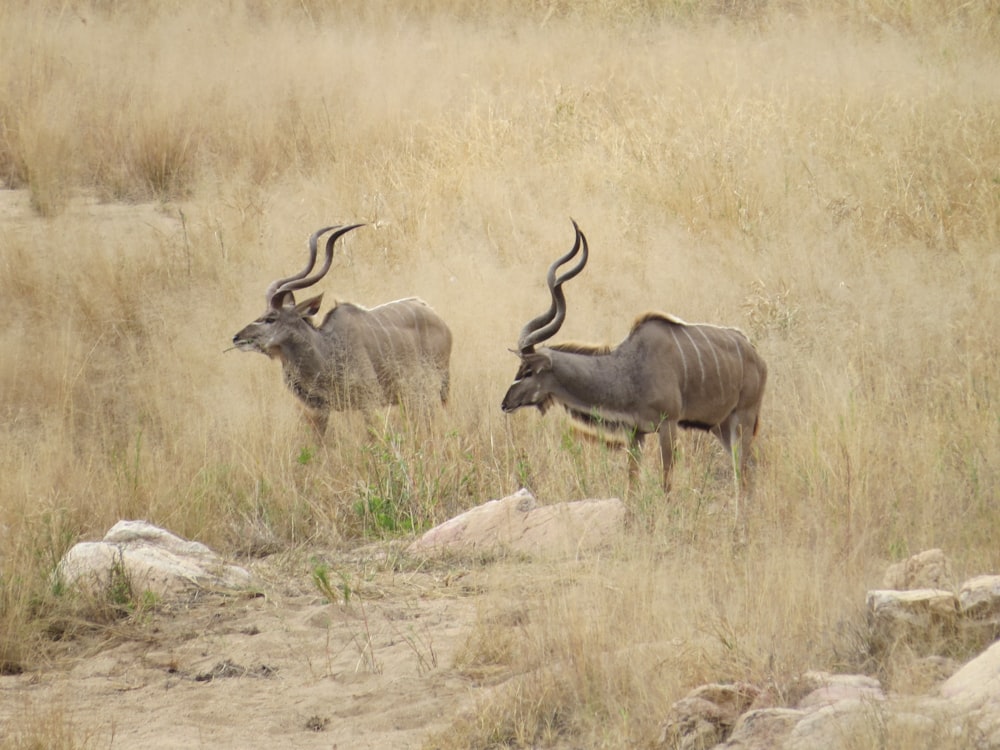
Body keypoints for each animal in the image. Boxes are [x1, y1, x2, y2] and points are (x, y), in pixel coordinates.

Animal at [232, 223, 452, 434]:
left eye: (271, 318)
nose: (237, 338)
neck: (326, 350)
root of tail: (439, 319)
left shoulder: (369, 400)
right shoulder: (319, 411)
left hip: (433, 387)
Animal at [500, 222, 764, 500]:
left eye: (528, 371)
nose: (505, 403)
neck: (627, 370)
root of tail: (756, 356)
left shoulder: (668, 424)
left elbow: (666, 483)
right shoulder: (635, 432)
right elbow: (632, 482)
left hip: (743, 418)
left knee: (744, 471)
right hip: (721, 425)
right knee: (742, 469)